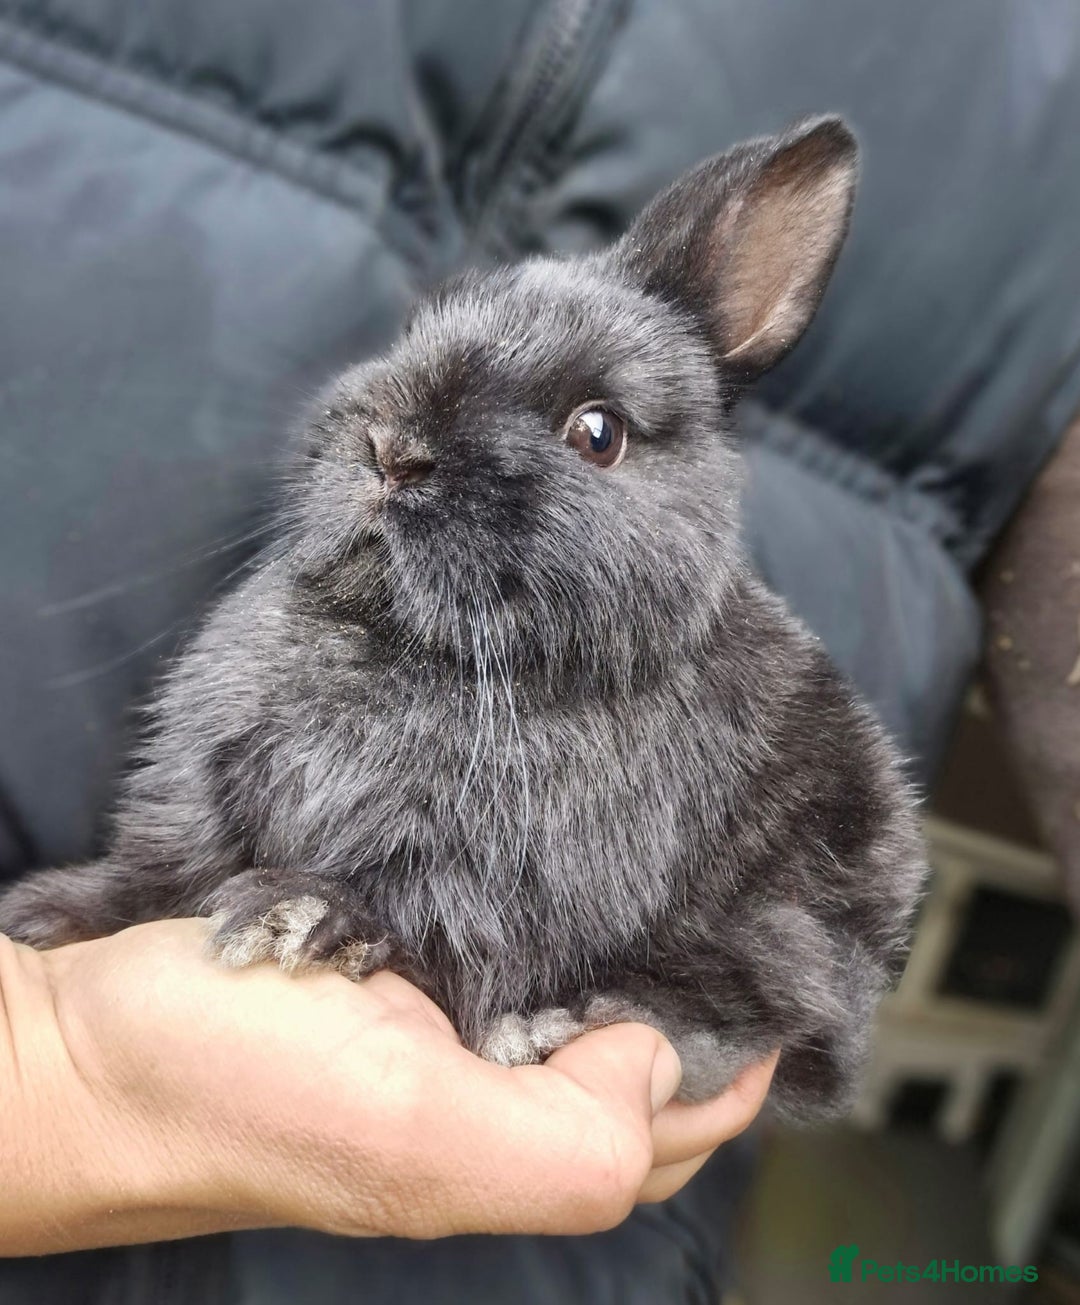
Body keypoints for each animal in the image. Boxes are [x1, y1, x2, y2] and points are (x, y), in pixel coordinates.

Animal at [0, 116, 924, 1119]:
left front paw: (302, 917)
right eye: (419, 328)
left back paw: (555, 1027)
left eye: (598, 433)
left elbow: (430, 921)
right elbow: (153, 873)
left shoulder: (501, 880)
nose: (393, 448)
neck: (405, 645)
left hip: (792, 921)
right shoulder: (199, 795)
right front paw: (43, 913)